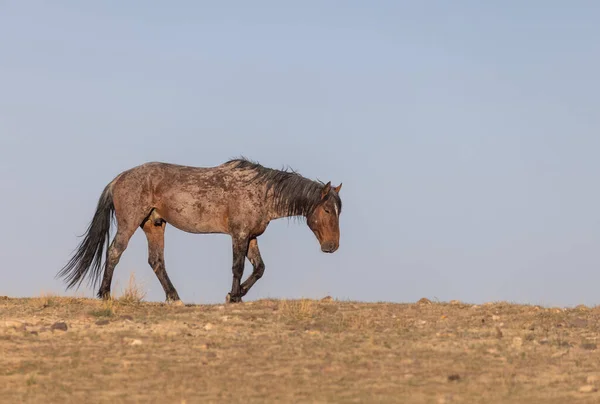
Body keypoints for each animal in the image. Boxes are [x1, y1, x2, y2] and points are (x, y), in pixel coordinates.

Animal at [59, 158, 346, 304]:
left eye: (339, 210)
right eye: (327, 210)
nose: (332, 247)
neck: (261, 191)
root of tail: (118, 179)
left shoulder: (251, 236)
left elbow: (259, 268)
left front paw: (236, 294)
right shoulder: (239, 235)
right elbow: (238, 267)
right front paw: (234, 297)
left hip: (154, 225)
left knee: (156, 261)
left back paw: (174, 297)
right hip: (130, 223)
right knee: (115, 252)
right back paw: (105, 294)